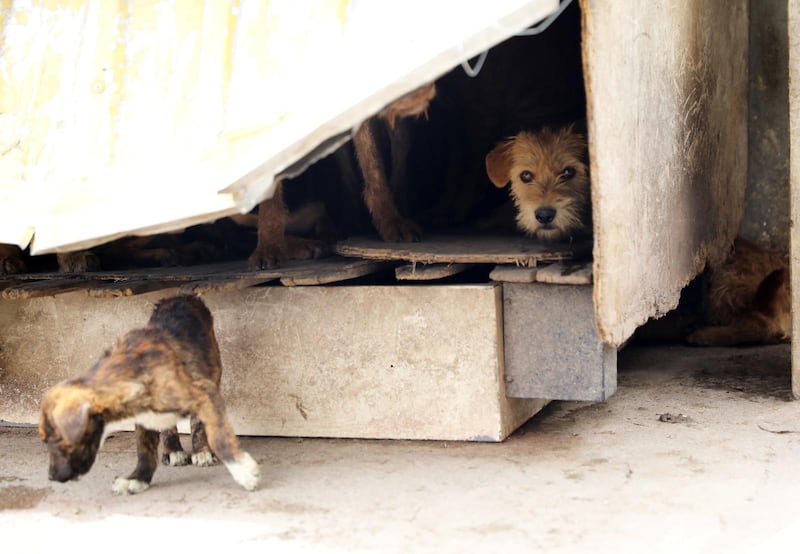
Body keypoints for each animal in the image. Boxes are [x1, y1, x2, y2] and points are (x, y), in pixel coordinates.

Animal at [1, 0, 800, 548]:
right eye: (532, 176)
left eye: (572, 173)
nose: (544, 213)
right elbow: (276, 187)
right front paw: (271, 244)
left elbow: (379, 172)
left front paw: (394, 225)